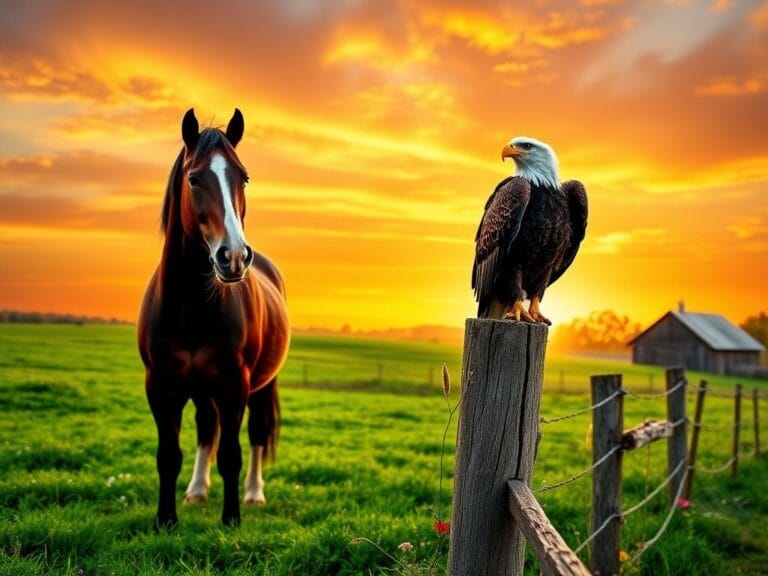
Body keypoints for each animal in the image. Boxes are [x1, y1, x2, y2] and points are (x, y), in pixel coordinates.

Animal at [138, 108, 290, 527]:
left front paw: (231, 519)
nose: (234, 256)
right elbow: (168, 455)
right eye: (193, 178)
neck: (191, 309)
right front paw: (166, 519)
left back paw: (254, 494)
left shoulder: (234, 385)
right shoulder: (160, 385)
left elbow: (231, 454)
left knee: (256, 435)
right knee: (207, 429)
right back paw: (197, 491)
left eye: (244, 177)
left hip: (259, 386)